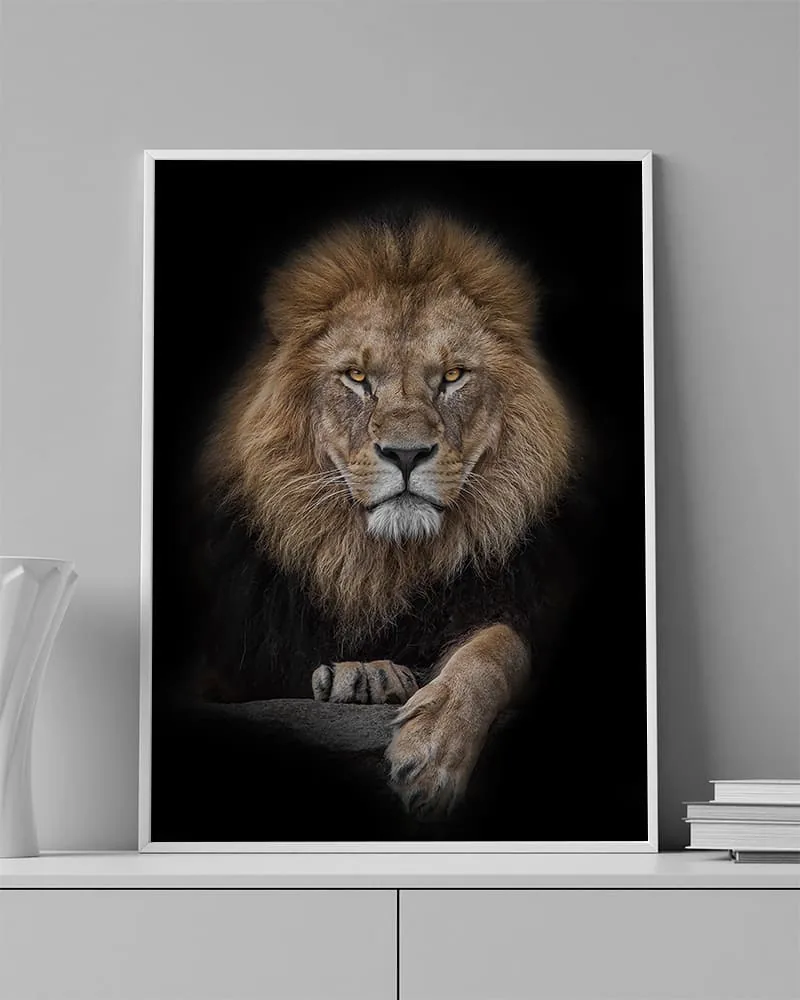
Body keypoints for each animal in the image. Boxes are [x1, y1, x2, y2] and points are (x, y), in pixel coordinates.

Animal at [194, 211, 580, 819]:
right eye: (357, 378)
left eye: (452, 376)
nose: (405, 453)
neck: (383, 564)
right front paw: (364, 673)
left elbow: (498, 647)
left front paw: (434, 750)